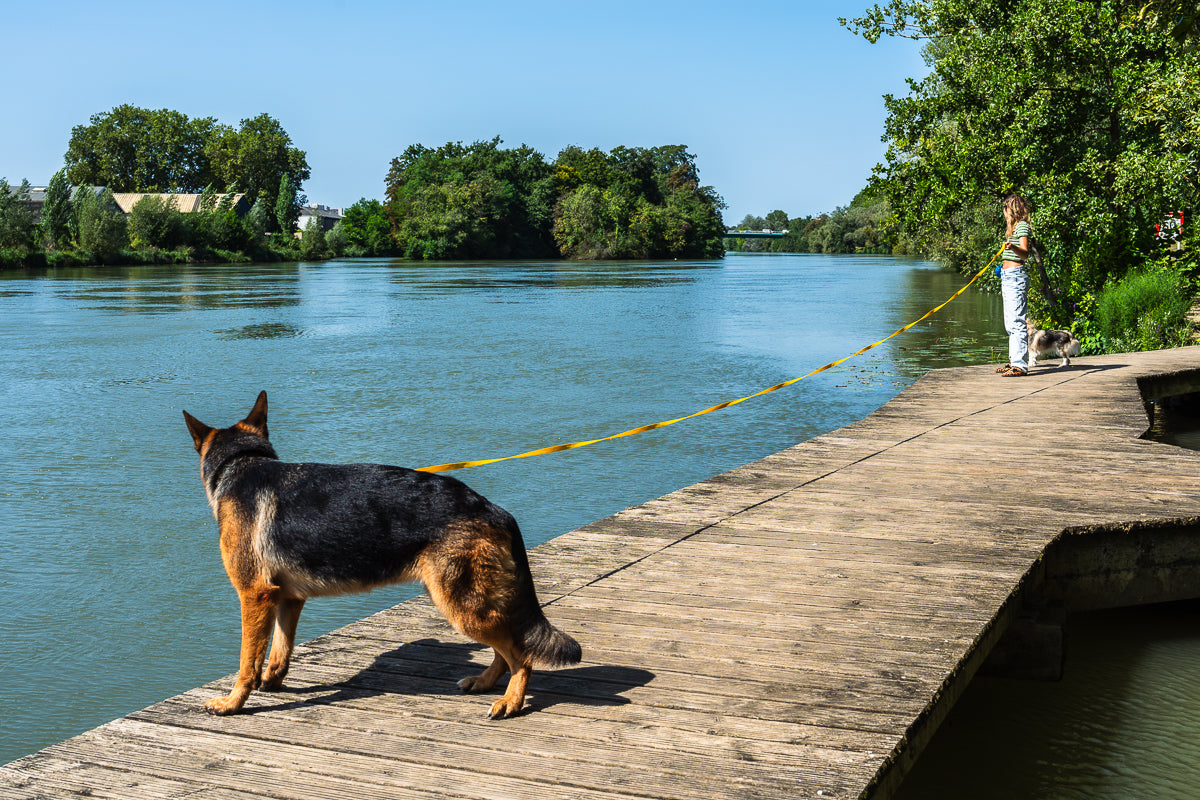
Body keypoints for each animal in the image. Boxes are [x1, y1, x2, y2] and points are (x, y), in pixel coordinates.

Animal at [180, 393, 583, 719]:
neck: (241, 464)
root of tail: (492, 508)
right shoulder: (289, 599)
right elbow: (280, 651)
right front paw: (273, 683)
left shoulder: (255, 596)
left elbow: (247, 661)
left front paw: (233, 702)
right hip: (472, 606)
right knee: (506, 649)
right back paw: (484, 683)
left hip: (462, 607)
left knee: (522, 655)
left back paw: (511, 702)